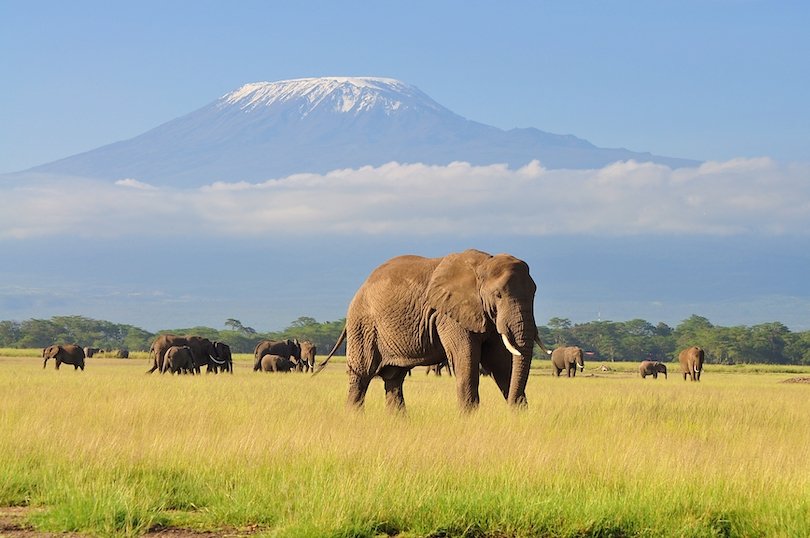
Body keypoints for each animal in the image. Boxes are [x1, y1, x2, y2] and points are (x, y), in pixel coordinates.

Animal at [312, 248, 548, 410]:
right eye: (498, 295)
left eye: (535, 293)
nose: (512, 408)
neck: (483, 264)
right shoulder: (449, 314)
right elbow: (466, 360)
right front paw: (469, 420)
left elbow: (501, 363)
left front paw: (519, 416)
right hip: (363, 325)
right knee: (361, 376)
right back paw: (354, 418)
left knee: (394, 379)